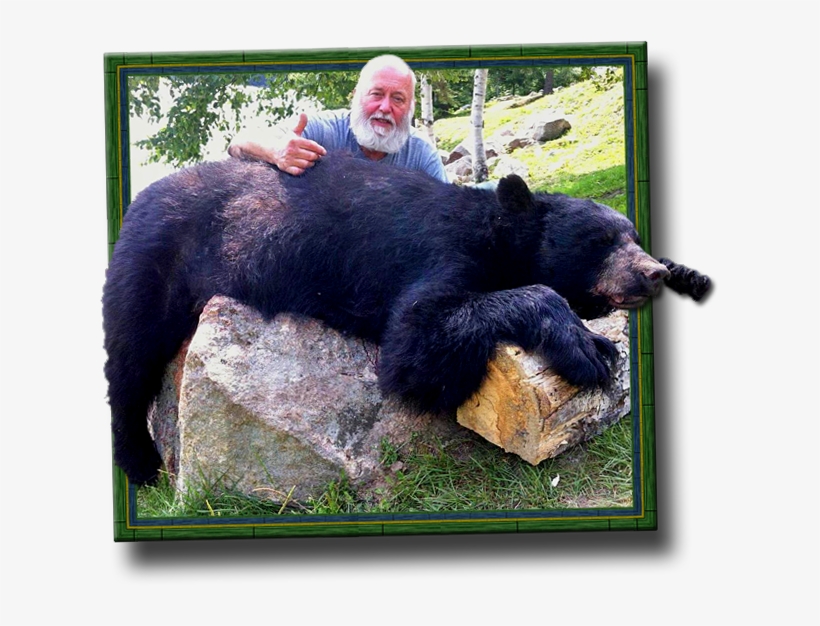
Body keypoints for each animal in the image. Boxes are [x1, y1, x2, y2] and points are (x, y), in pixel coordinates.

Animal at [103, 152, 674, 485]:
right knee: (130, 356)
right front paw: (587, 348)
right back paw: (140, 463)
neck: (495, 231)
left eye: (633, 235)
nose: (655, 272)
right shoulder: (439, 253)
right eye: (600, 240)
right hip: (153, 257)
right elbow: (413, 348)